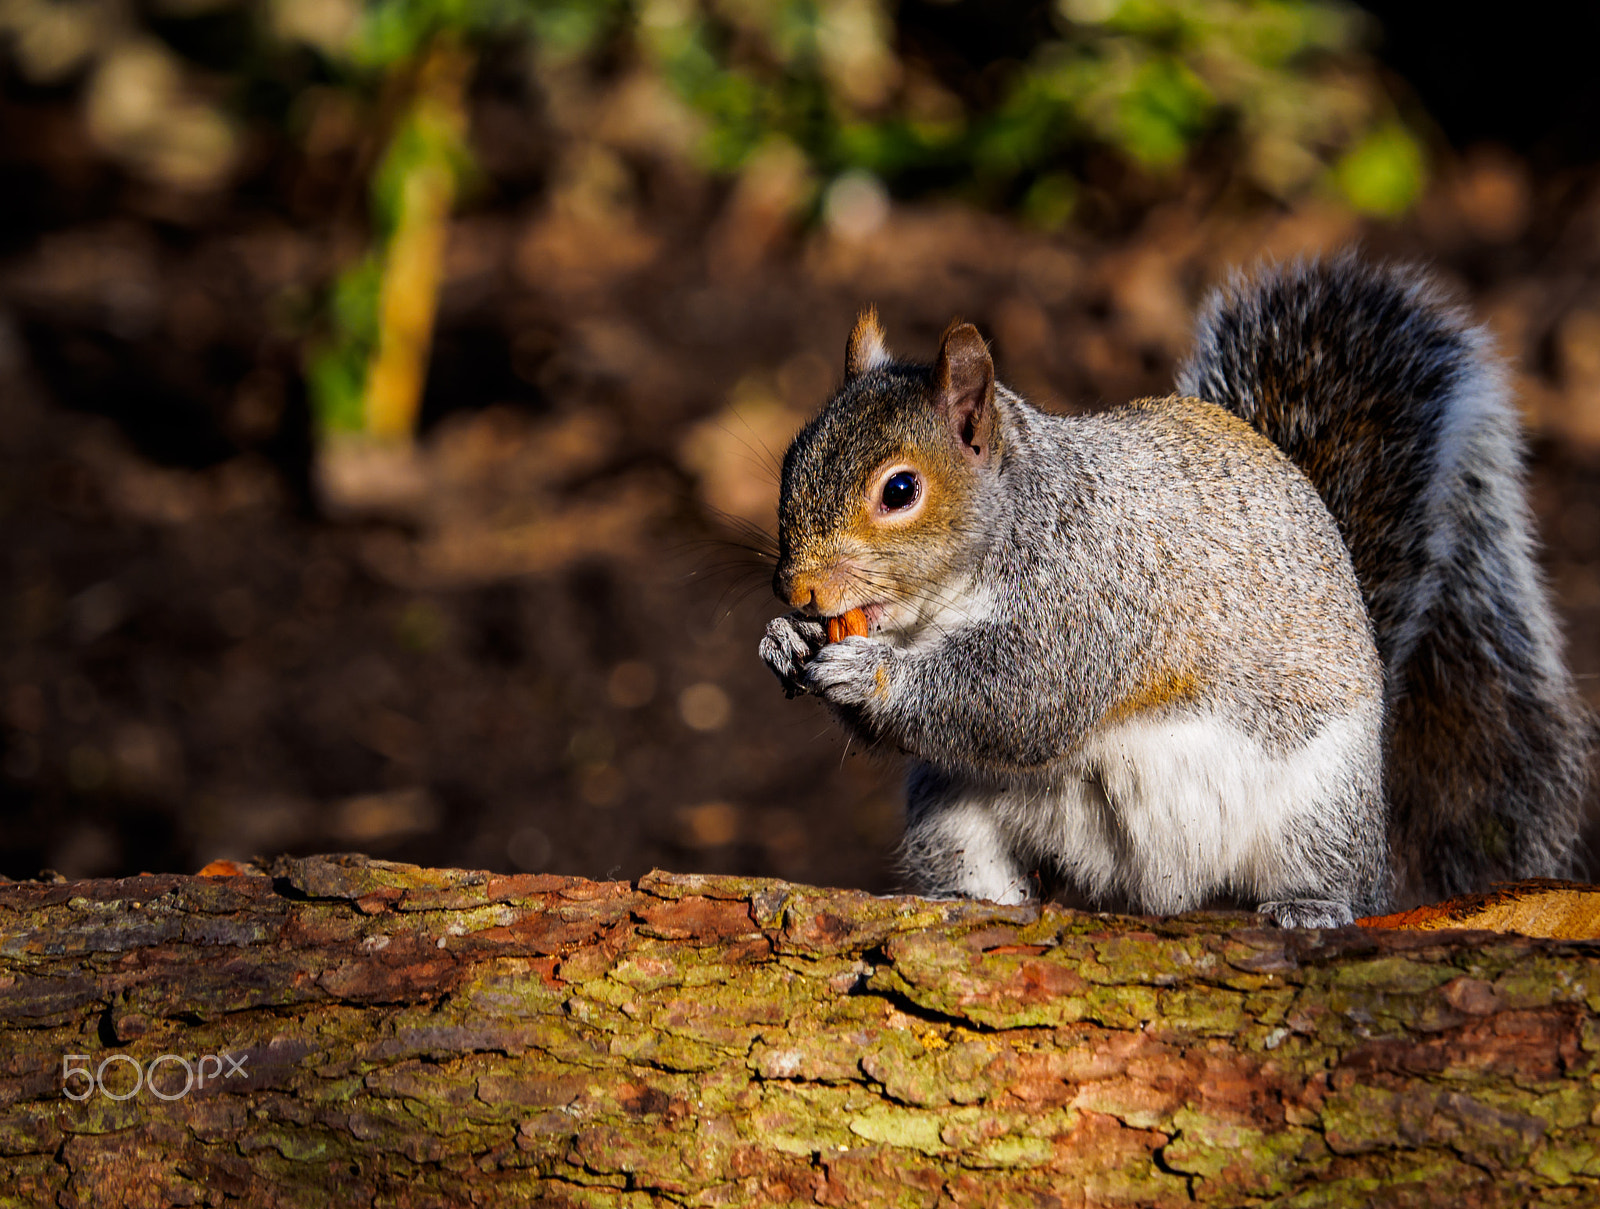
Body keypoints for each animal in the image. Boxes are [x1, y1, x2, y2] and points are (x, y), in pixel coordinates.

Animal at [755, 251, 1593, 921]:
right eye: (793, 455)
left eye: (900, 490)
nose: (797, 590)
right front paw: (785, 641)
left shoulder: (1095, 598)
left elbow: (1022, 701)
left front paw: (865, 671)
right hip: (947, 808)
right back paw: (971, 898)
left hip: (1321, 805)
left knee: (1340, 877)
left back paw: (1314, 906)